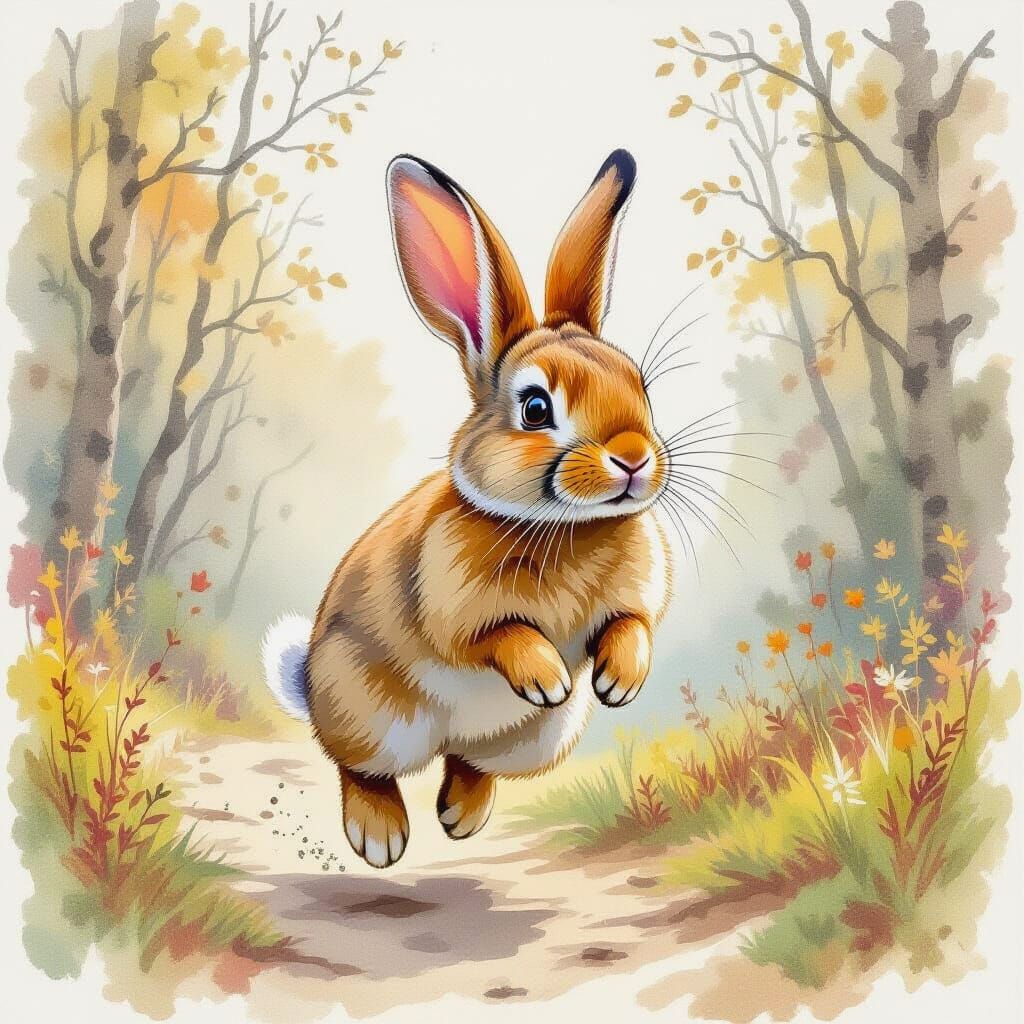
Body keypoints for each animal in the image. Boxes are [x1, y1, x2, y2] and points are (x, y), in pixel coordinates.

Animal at [262, 149, 673, 868]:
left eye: (640, 388)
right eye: (535, 408)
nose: (632, 457)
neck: (568, 526)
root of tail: (309, 686)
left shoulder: (637, 600)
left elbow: (633, 625)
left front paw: (618, 682)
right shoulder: (454, 606)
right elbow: (499, 635)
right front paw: (547, 675)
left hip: (534, 741)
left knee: (470, 762)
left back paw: (459, 815)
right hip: (368, 715)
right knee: (358, 767)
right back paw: (380, 837)